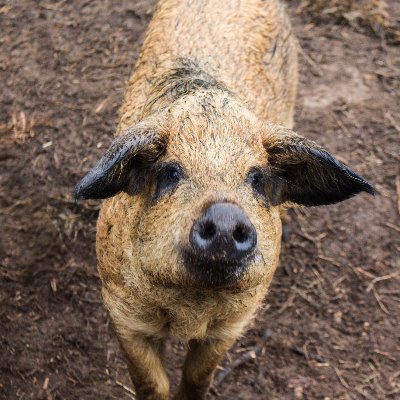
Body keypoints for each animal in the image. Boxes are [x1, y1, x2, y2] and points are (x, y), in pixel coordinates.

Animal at [75, 0, 376, 400]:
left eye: (257, 177)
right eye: (171, 172)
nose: (223, 215)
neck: (192, 308)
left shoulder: (234, 324)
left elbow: (198, 378)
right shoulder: (123, 311)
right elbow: (151, 383)